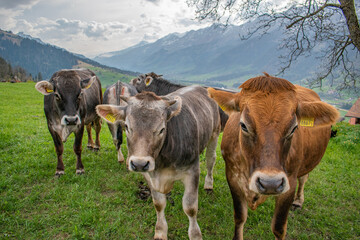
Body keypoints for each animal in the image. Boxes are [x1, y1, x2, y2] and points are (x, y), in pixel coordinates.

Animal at [96, 86, 219, 240]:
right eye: (127, 127)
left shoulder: (192, 170)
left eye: (162, 129)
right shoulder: (149, 175)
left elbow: (190, 208)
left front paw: (195, 235)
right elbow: (159, 204)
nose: (139, 164)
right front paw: (160, 231)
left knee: (210, 160)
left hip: (214, 134)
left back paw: (209, 184)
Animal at [207, 73, 338, 240]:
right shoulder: (232, 176)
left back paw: (298, 202)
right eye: (243, 125)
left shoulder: (289, 182)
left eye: (294, 128)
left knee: (304, 179)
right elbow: (239, 216)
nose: (270, 183)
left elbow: (279, 228)